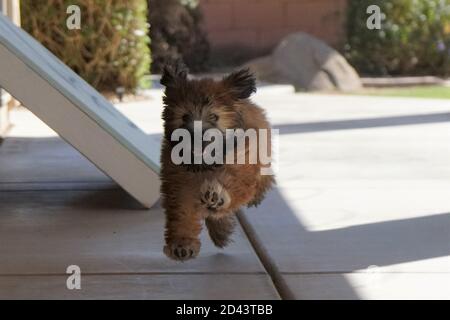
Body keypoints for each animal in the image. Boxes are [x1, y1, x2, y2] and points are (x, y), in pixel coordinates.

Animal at [160, 62, 276, 260]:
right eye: (184, 117)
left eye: (214, 117)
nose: (196, 138)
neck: (204, 165)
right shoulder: (178, 182)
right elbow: (182, 213)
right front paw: (182, 243)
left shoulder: (243, 164)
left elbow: (234, 184)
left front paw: (219, 196)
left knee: (263, 178)